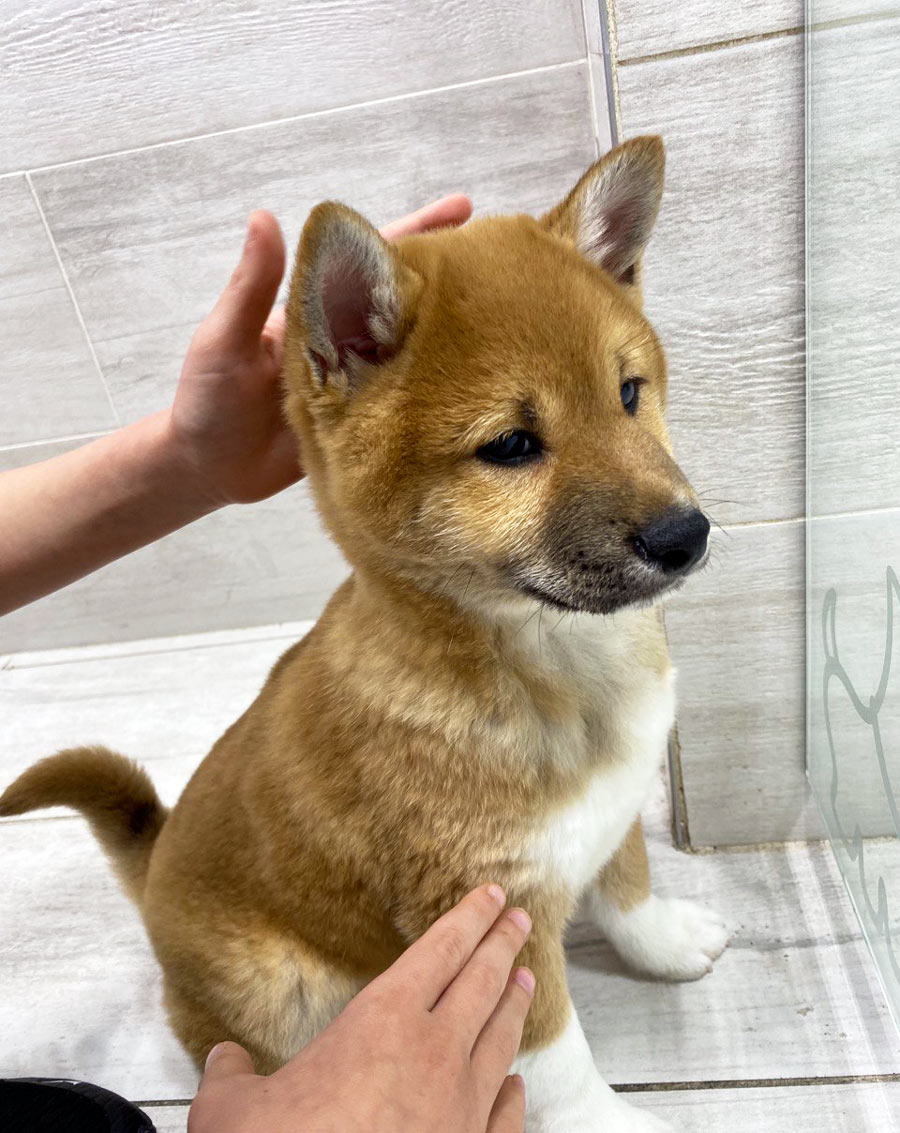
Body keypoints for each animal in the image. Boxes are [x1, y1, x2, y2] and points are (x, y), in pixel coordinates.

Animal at [1, 137, 729, 1128]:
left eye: (628, 393)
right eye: (511, 446)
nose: (685, 535)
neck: (554, 671)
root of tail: (154, 865)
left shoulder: (609, 813)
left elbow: (629, 886)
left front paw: (665, 940)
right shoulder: (491, 920)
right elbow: (558, 1058)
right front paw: (610, 1124)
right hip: (275, 989)